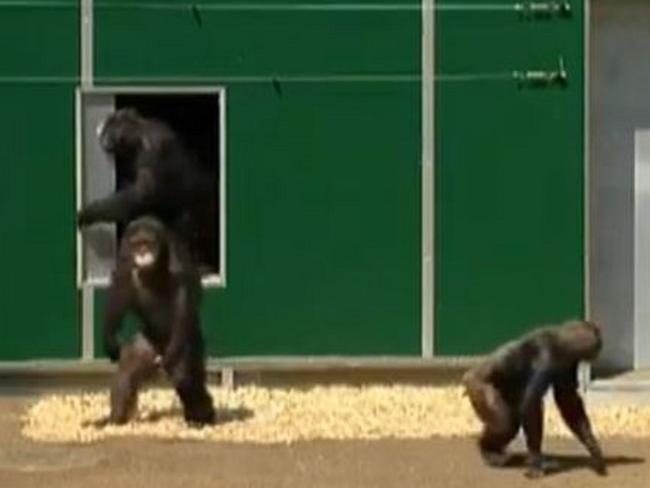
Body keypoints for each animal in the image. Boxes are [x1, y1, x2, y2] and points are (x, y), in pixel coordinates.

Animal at [77, 107, 210, 266]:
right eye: (104, 132)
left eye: (109, 127)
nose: (103, 138)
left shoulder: (152, 149)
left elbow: (142, 194)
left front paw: (89, 212)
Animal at [100, 215, 214, 426]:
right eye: (138, 244)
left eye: (148, 243)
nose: (143, 252)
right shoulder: (125, 257)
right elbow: (119, 290)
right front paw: (110, 340)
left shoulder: (178, 263)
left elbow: (182, 303)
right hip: (149, 344)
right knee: (127, 370)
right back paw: (114, 420)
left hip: (190, 342)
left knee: (186, 377)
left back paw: (203, 417)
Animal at [460, 320, 604, 476]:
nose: (600, 347)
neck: (561, 341)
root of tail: (467, 377)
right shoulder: (545, 358)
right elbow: (532, 404)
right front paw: (536, 462)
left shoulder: (568, 364)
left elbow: (568, 401)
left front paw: (593, 447)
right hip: (479, 388)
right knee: (505, 424)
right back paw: (488, 451)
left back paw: (495, 452)